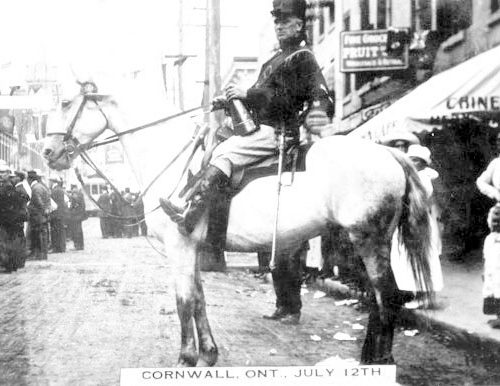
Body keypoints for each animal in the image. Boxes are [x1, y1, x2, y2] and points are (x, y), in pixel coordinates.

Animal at [44, 89, 434, 364]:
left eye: (64, 102)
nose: (49, 153)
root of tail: (389, 153)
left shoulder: (179, 247)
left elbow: (184, 300)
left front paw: (186, 358)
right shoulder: (194, 250)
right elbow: (198, 299)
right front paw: (208, 353)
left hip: (369, 239)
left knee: (388, 296)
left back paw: (380, 360)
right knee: (379, 298)